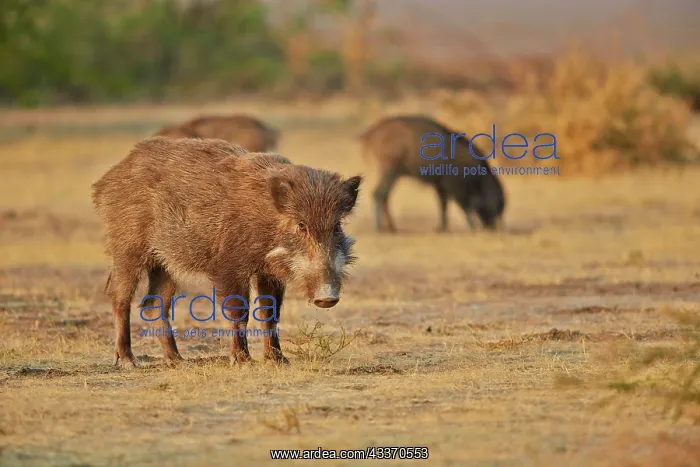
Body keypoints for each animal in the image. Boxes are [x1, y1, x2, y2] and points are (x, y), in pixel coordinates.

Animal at [91, 137, 362, 368]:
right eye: (301, 225)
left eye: (336, 226)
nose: (327, 298)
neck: (267, 222)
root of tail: (104, 183)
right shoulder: (228, 266)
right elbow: (239, 311)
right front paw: (242, 361)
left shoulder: (268, 271)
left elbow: (269, 312)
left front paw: (278, 360)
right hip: (127, 248)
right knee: (119, 297)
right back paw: (129, 361)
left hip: (166, 264)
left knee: (155, 304)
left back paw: (177, 360)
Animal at [359, 115, 505, 233]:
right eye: (495, 207)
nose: (492, 228)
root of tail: (372, 133)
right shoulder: (455, 188)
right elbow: (463, 207)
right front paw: (471, 227)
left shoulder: (440, 186)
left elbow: (443, 205)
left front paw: (442, 228)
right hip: (390, 173)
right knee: (379, 194)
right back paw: (379, 227)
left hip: (393, 175)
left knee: (385, 196)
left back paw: (392, 227)